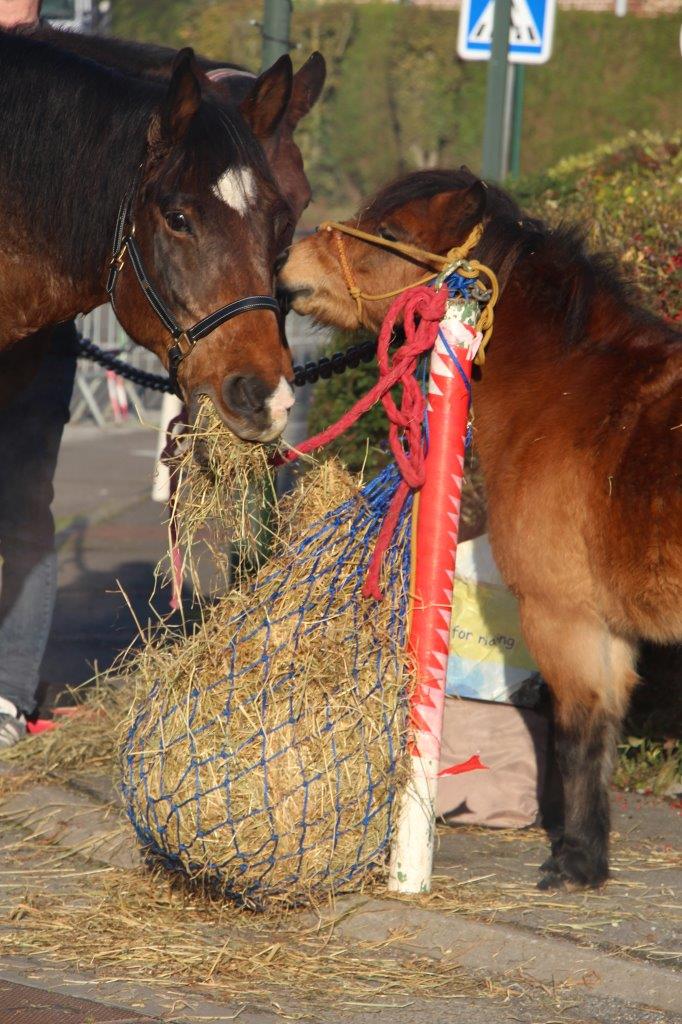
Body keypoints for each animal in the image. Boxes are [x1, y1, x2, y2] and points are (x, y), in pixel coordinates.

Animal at [278, 167, 679, 888]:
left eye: (390, 230)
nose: (288, 265)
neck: (570, 392)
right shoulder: (608, 631)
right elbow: (602, 734)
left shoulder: (567, 619)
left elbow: (579, 734)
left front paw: (575, 862)